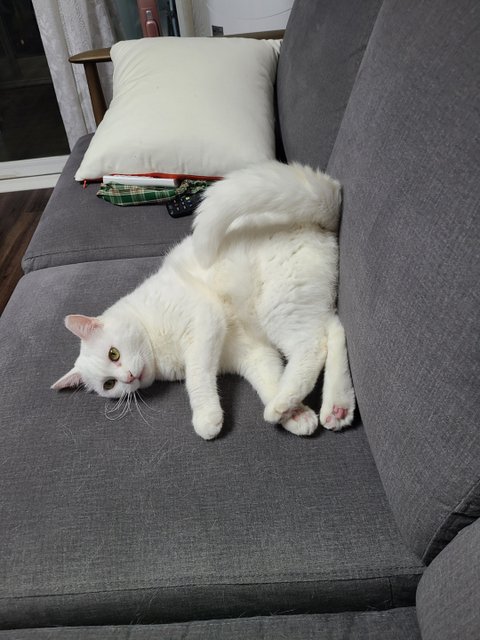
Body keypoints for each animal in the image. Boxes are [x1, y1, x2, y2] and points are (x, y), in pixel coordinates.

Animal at [52, 161, 356, 439]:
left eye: (113, 354)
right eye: (109, 385)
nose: (128, 377)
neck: (158, 351)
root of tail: (323, 215)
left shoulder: (204, 321)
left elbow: (196, 376)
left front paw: (207, 418)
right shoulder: (253, 352)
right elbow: (269, 379)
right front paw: (298, 416)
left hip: (278, 306)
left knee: (313, 345)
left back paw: (280, 406)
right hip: (300, 304)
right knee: (334, 330)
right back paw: (335, 408)